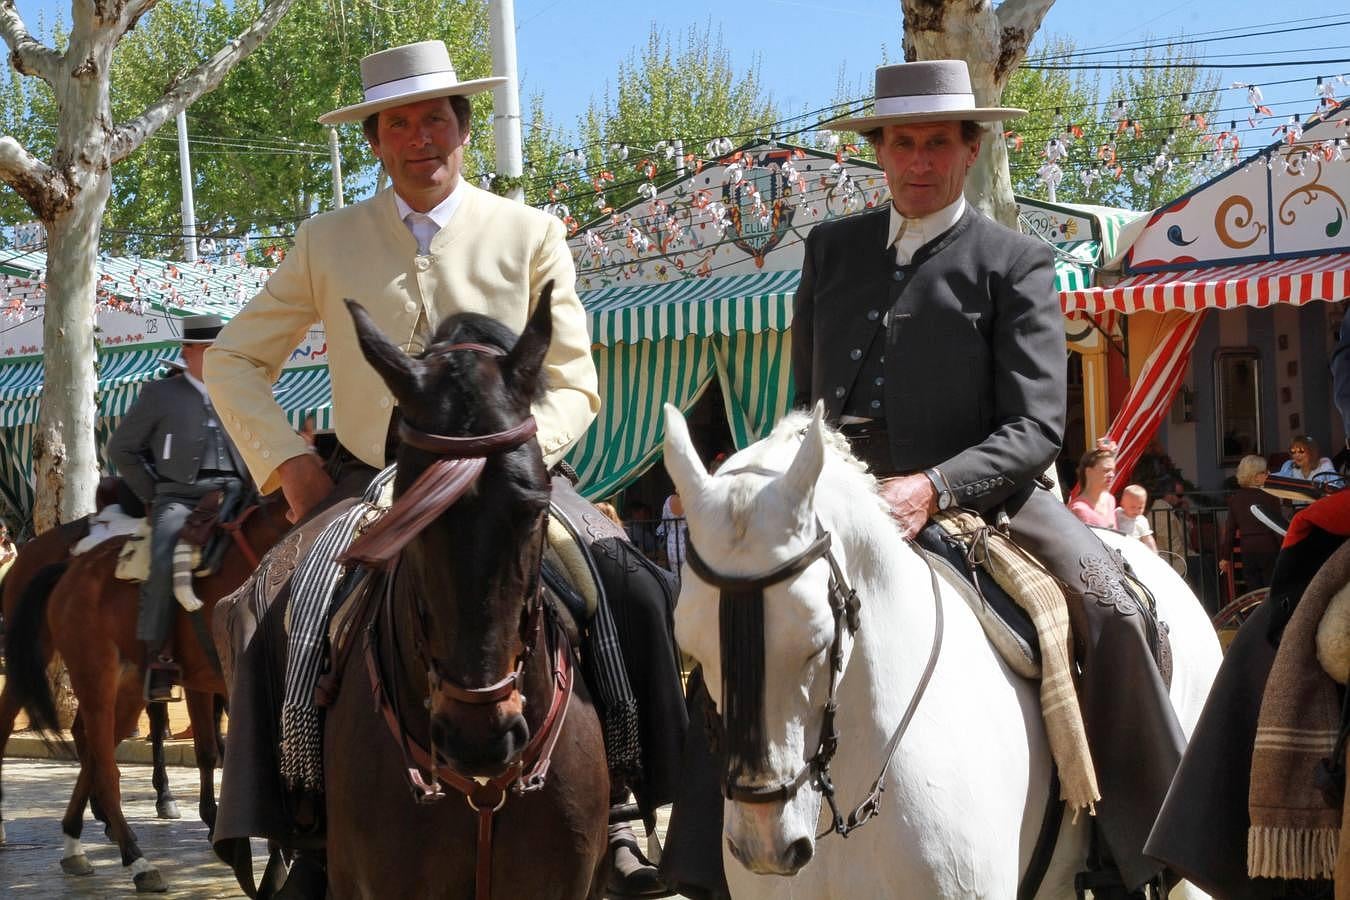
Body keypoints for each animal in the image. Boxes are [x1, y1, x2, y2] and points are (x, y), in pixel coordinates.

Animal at [5, 496, 290, 890]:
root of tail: (67, 566)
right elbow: (215, 752)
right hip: (77, 668)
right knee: (97, 762)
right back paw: (136, 858)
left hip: (124, 687)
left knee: (95, 750)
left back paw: (79, 840)